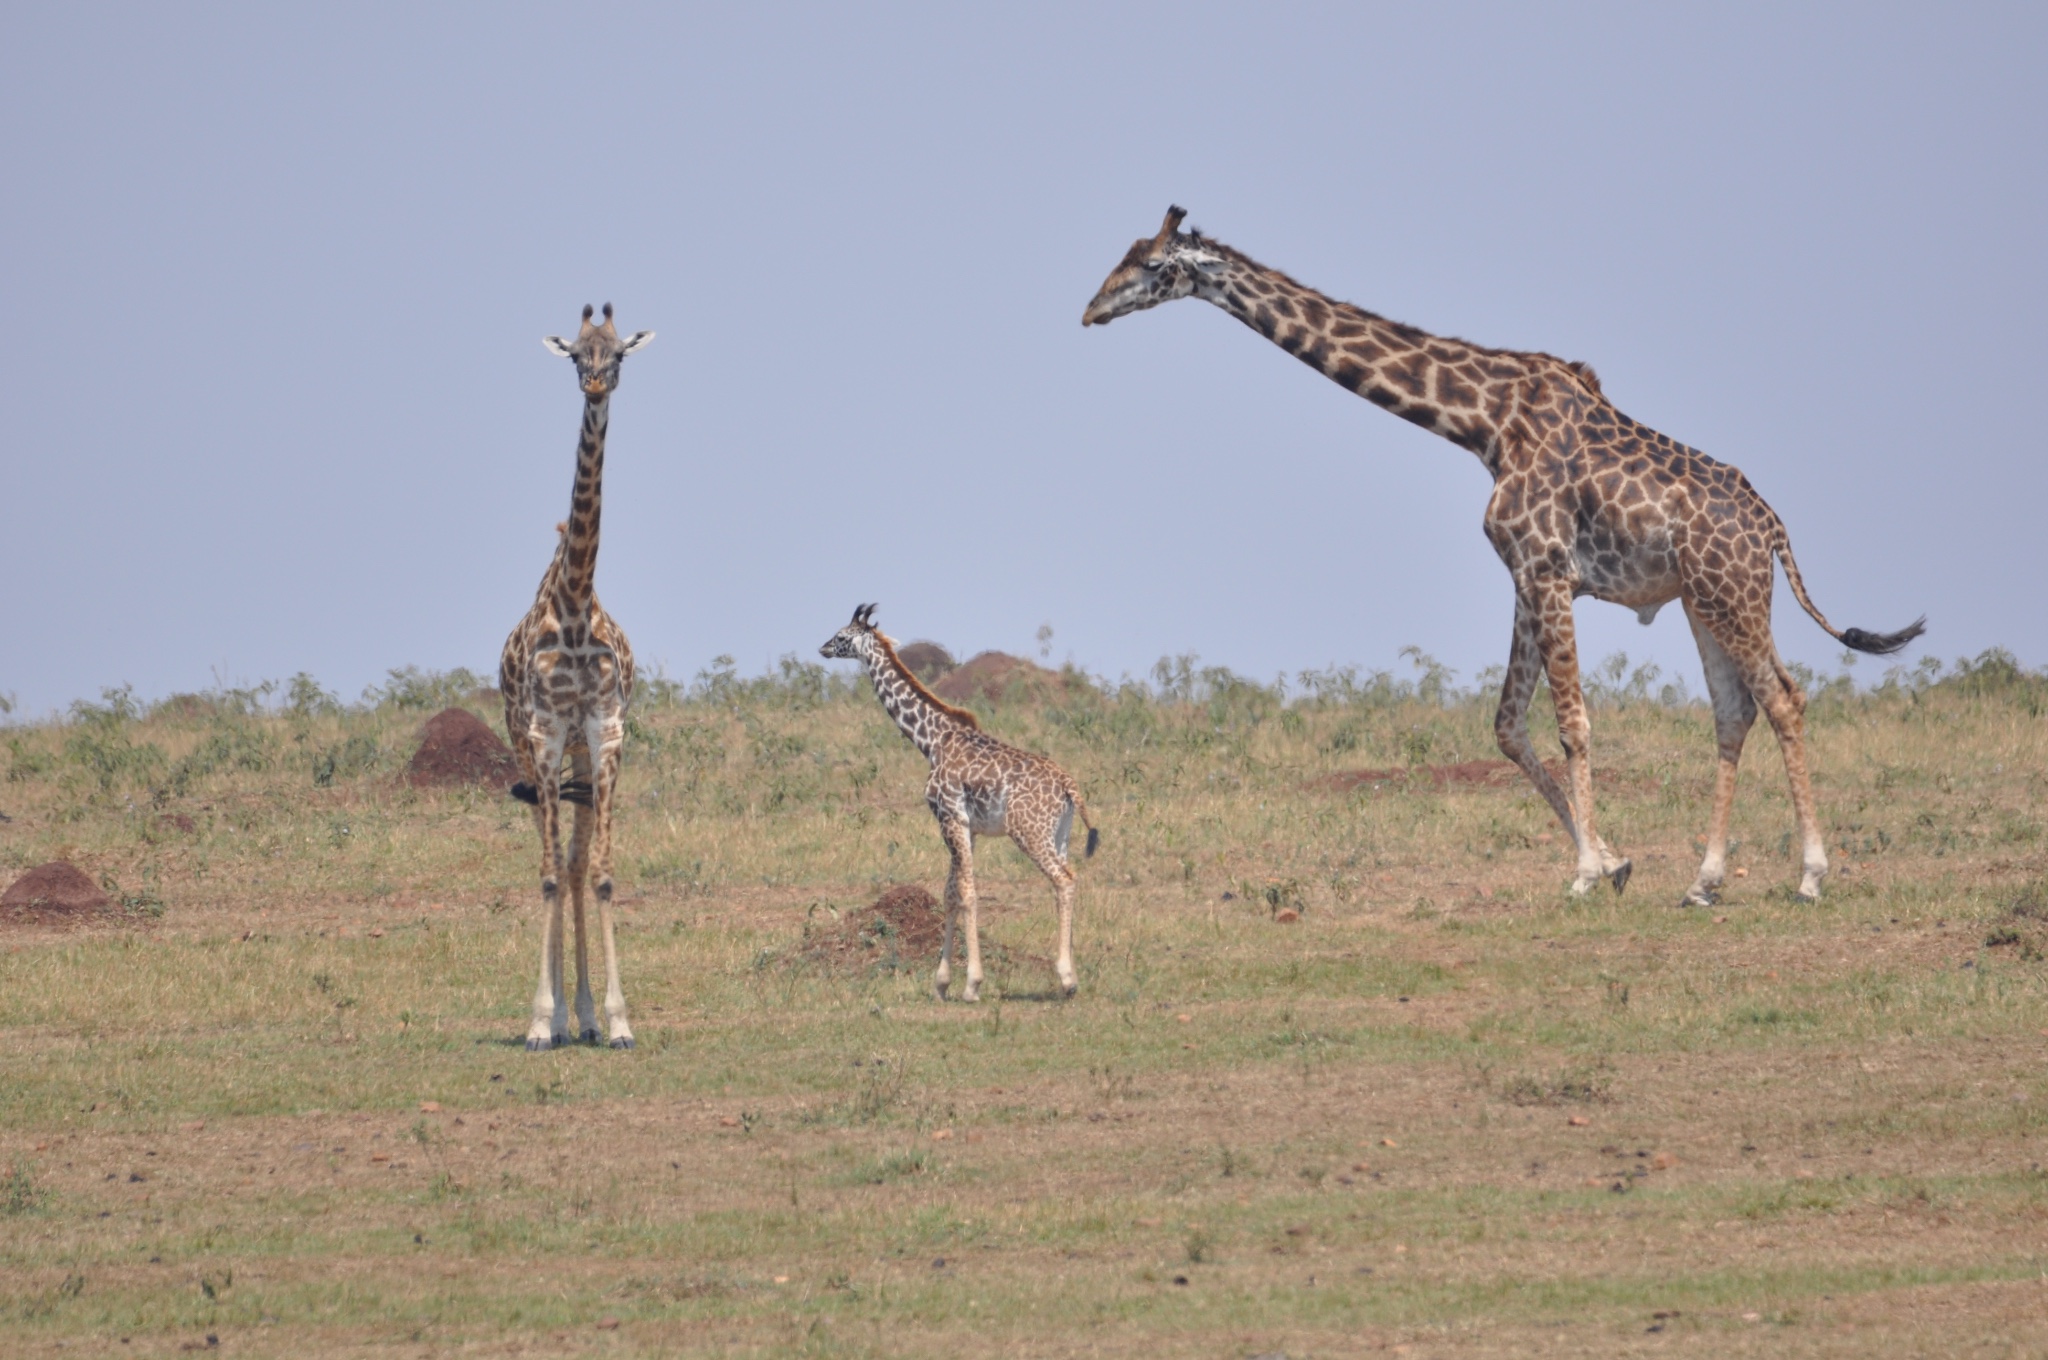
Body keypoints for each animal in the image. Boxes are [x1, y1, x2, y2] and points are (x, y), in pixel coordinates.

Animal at [819, 606, 1097, 999]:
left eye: (842, 636)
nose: (823, 648)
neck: (932, 740)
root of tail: (1069, 786)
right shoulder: (968, 827)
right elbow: (950, 892)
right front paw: (941, 982)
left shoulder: (949, 816)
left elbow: (966, 892)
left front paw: (971, 983)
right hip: (1060, 834)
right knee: (1067, 881)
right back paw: (1069, 975)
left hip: (1027, 832)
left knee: (1064, 880)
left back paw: (1067, 978)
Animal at [1089, 209, 1916, 901]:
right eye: (1123, 256)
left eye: (1151, 264)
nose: (1090, 309)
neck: (1481, 422)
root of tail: (1773, 528)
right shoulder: (1526, 575)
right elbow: (1508, 724)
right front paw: (1612, 861)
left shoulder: (1546, 568)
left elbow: (1574, 723)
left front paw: (1586, 874)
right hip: (1701, 600)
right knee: (1734, 711)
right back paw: (1704, 882)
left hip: (1731, 593)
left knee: (1783, 699)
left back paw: (1810, 875)